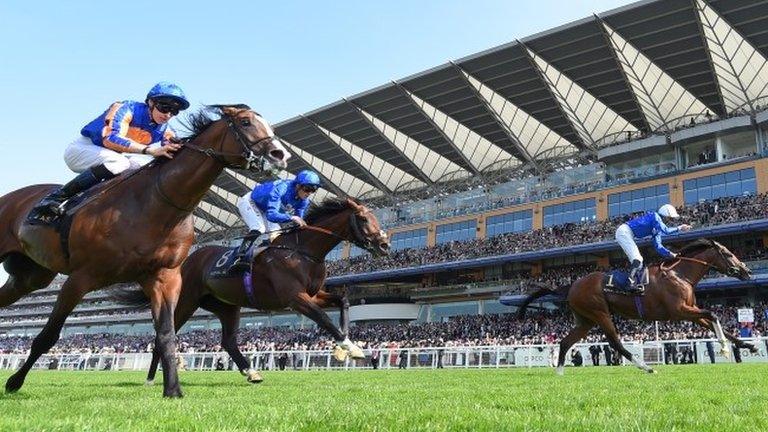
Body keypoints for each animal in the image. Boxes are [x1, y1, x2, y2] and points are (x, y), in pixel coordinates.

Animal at [0, 104, 290, 394]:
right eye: (246, 122)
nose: (280, 155)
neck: (155, 204)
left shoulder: (165, 277)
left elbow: (166, 335)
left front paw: (173, 390)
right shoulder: (80, 278)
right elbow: (48, 335)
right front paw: (14, 382)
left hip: (29, 278)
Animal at [112, 197, 390, 384]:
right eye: (363, 219)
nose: (384, 245)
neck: (302, 251)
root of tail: (186, 261)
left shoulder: (313, 294)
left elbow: (343, 302)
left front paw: (344, 348)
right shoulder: (294, 297)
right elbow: (322, 317)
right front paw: (350, 348)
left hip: (227, 305)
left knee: (228, 341)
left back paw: (251, 371)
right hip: (187, 301)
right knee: (163, 333)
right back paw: (150, 378)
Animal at [516, 240, 756, 374]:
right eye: (728, 254)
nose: (747, 271)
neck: (679, 274)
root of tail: (571, 286)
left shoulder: (691, 313)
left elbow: (718, 324)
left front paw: (748, 346)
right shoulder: (679, 310)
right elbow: (714, 315)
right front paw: (725, 348)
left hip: (586, 320)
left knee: (566, 342)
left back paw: (559, 372)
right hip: (600, 313)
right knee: (616, 344)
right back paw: (646, 367)